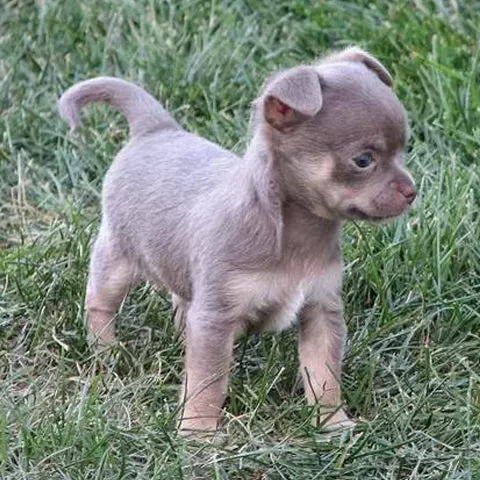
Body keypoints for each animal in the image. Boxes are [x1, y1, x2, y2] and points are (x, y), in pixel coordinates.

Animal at [58, 47, 414, 436]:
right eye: (363, 161)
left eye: (404, 149)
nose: (412, 191)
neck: (295, 232)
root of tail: (156, 129)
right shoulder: (216, 318)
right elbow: (208, 380)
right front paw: (198, 432)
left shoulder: (322, 310)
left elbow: (324, 374)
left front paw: (333, 424)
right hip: (118, 256)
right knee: (100, 302)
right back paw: (106, 352)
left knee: (181, 300)